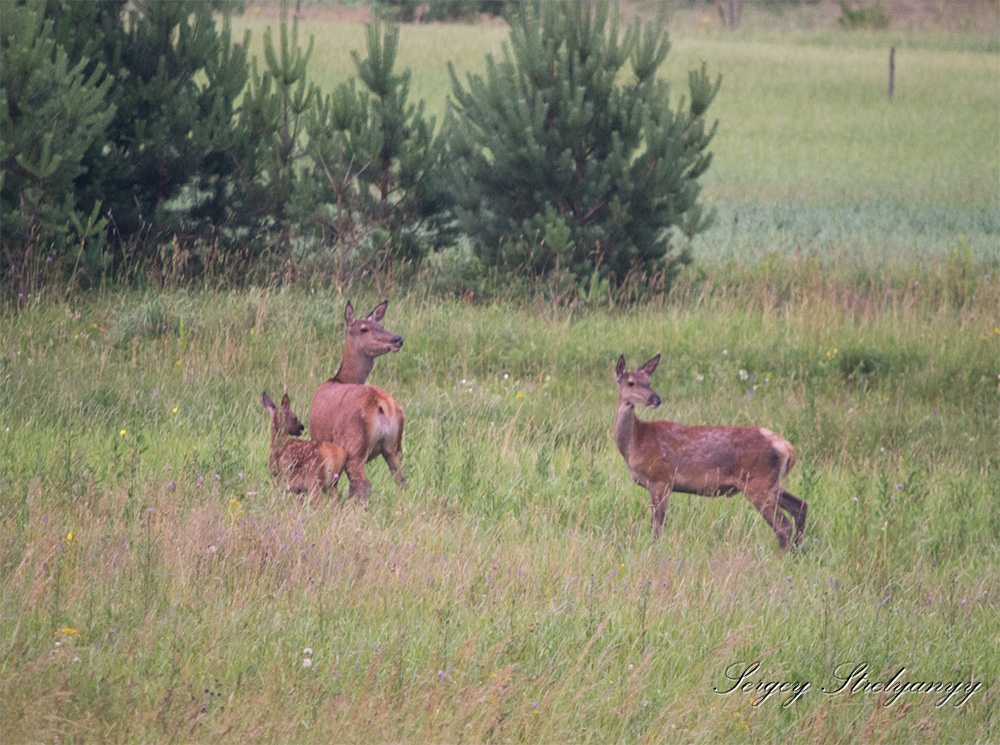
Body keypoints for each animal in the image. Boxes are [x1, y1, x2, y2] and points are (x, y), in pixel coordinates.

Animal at [310, 300, 408, 500]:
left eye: (380, 326)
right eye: (364, 328)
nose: (398, 339)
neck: (339, 379)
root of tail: (382, 404)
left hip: (354, 447)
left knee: (362, 485)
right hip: (395, 447)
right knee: (403, 481)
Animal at [612, 352, 808, 548]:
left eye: (648, 382)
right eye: (631, 383)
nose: (656, 400)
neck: (636, 442)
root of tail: (787, 448)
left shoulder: (661, 478)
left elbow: (657, 527)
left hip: (757, 482)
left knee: (783, 526)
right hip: (769, 482)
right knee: (801, 505)